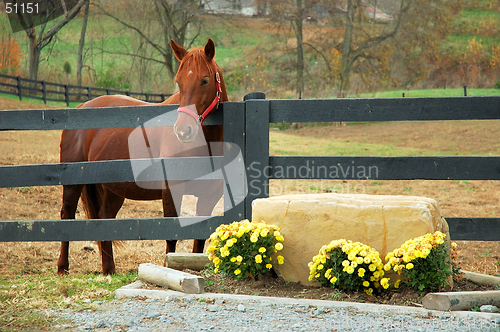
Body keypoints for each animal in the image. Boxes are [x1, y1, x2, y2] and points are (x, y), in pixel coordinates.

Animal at [58, 39, 229, 274]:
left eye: (204, 80)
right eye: (179, 82)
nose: (183, 131)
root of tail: (82, 106)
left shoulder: (209, 198)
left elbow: (199, 239)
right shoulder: (170, 193)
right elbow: (171, 236)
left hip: (112, 190)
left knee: (105, 217)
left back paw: (109, 269)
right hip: (73, 183)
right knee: (67, 215)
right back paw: (62, 267)